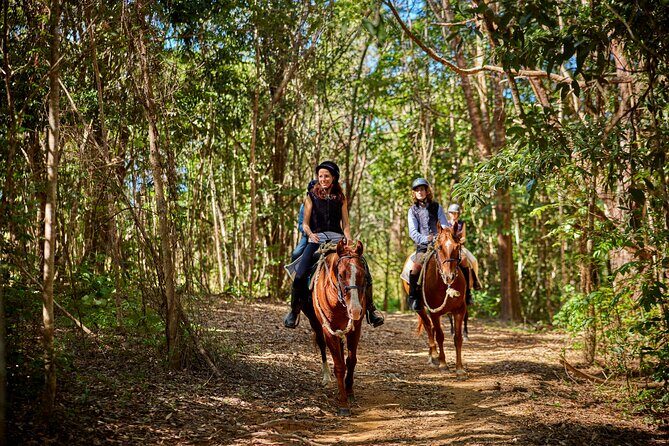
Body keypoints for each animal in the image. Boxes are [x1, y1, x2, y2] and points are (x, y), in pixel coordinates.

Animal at [305, 239, 368, 416]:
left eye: (363, 275)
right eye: (340, 275)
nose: (355, 310)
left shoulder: (355, 327)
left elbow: (351, 360)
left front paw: (350, 392)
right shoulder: (329, 330)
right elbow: (339, 366)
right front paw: (343, 404)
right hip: (316, 324)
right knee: (321, 345)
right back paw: (326, 377)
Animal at [402, 226, 468, 377]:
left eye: (457, 246)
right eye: (439, 247)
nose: (449, 276)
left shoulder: (459, 310)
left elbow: (458, 338)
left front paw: (459, 368)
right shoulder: (435, 313)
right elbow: (440, 336)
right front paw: (443, 363)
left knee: (430, 327)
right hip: (421, 308)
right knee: (428, 326)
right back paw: (434, 355)